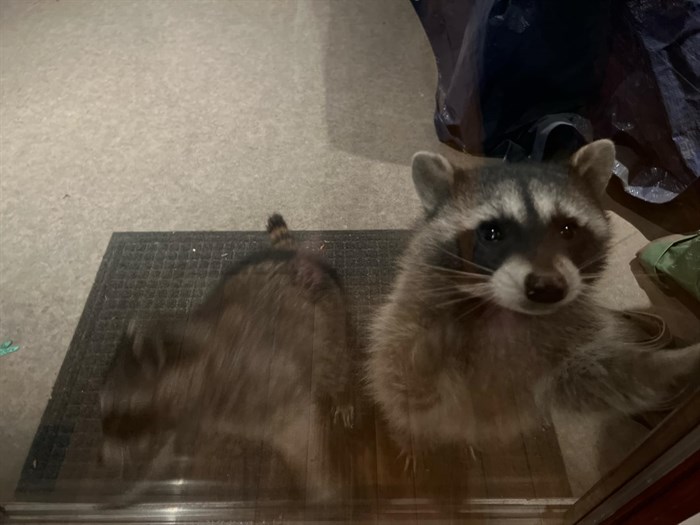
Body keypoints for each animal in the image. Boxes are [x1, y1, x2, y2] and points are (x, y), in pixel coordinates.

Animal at [101, 214, 352, 504]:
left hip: (331, 327)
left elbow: (300, 433)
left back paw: (341, 392)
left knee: (334, 366)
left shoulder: (265, 386)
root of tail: (292, 257)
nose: (102, 454)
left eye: (120, 408)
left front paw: (321, 484)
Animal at [366, 141, 700, 460]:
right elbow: (407, 367)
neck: (508, 312)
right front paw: (432, 349)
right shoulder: (410, 313)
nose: (547, 287)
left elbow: (597, 378)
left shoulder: (569, 338)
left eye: (567, 229)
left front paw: (675, 364)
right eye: (491, 233)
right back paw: (410, 439)